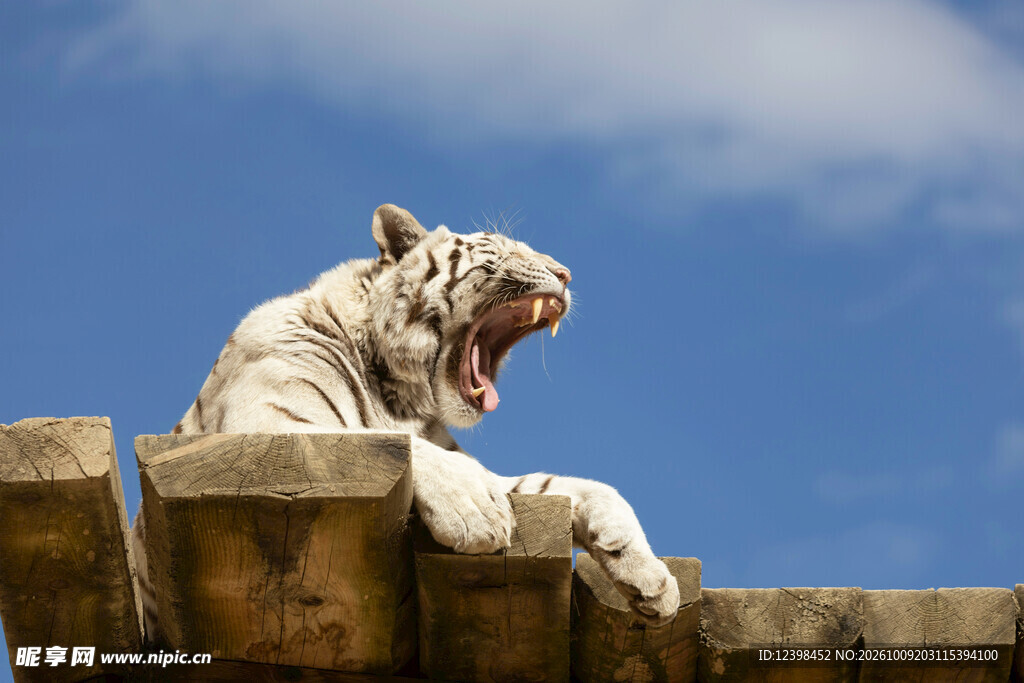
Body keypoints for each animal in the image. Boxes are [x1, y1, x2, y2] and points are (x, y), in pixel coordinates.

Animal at [133, 204, 679, 642]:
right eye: (499, 248)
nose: (565, 274)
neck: (399, 394)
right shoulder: (267, 427)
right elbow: (380, 441)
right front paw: (475, 513)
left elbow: (585, 489)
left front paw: (652, 581)